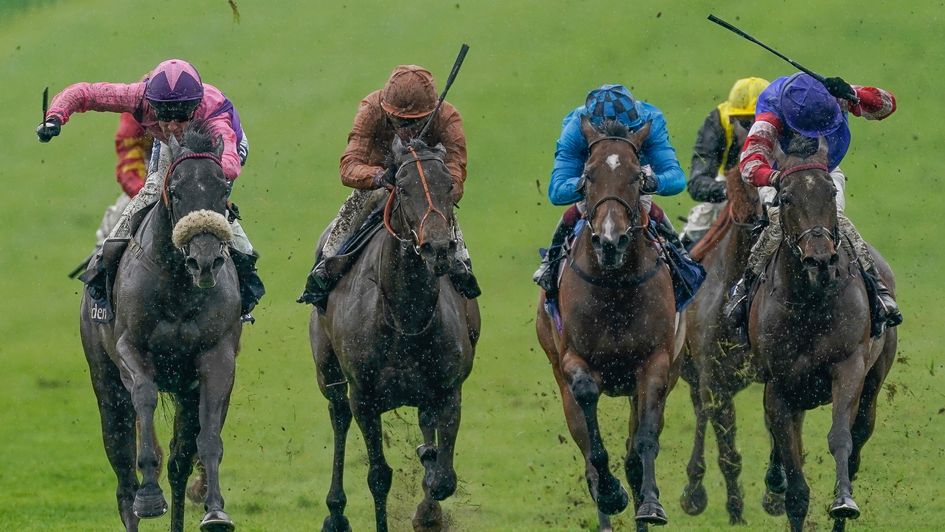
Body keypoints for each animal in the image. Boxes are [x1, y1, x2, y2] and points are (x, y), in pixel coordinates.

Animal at [310, 136, 480, 532]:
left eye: (448, 185)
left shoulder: (448, 390)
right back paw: (335, 513)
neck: (405, 317)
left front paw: (428, 507)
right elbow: (378, 475)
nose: (438, 248)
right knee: (338, 417)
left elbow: (442, 478)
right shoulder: (364, 397)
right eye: (402, 187)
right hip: (328, 373)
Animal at [536, 117, 684, 532]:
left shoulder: (655, 363)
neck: (615, 287)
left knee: (636, 450)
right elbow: (588, 404)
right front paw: (611, 491)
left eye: (636, 177)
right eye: (588, 176)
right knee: (587, 452)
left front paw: (650, 504)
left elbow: (644, 442)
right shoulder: (572, 359)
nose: (610, 241)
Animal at [748, 138, 896, 532]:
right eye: (785, 198)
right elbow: (794, 477)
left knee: (859, 436)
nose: (820, 259)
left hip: (874, 381)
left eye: (830, 192)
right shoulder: (780, 386)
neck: (810, 301)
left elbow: (841, 438)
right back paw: (775, 479)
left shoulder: (848, 368)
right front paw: (786, 488)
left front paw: (843, 502)